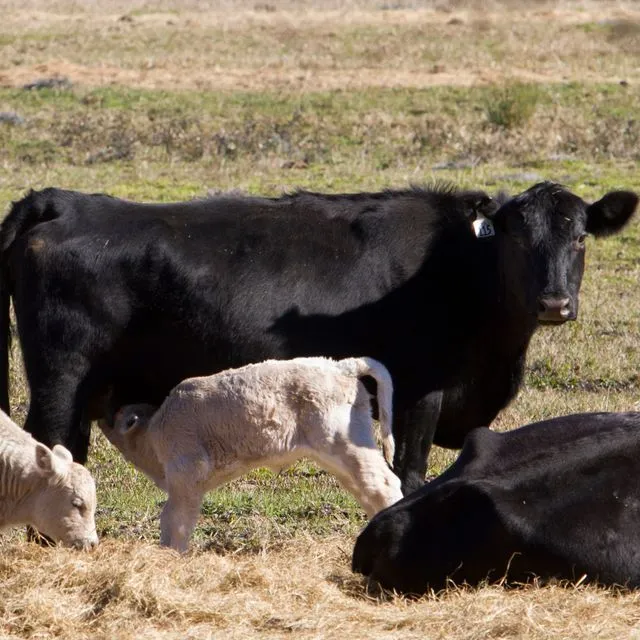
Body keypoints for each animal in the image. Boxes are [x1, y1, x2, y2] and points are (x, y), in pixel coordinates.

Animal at [0, 182, 636, 492]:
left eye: (580, 237)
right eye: (516, 238)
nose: (554, 303)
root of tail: (65, 202)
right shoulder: (420, 392)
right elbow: (410, 472)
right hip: (61, 382)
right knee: (50, 447)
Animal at [99, 356, 400, 552]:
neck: (152, 434)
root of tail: (340, 365)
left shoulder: (186, 475)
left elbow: (177, 519)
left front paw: (173, 553)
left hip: (343, 442)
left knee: (384, 483)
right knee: (366, 488)